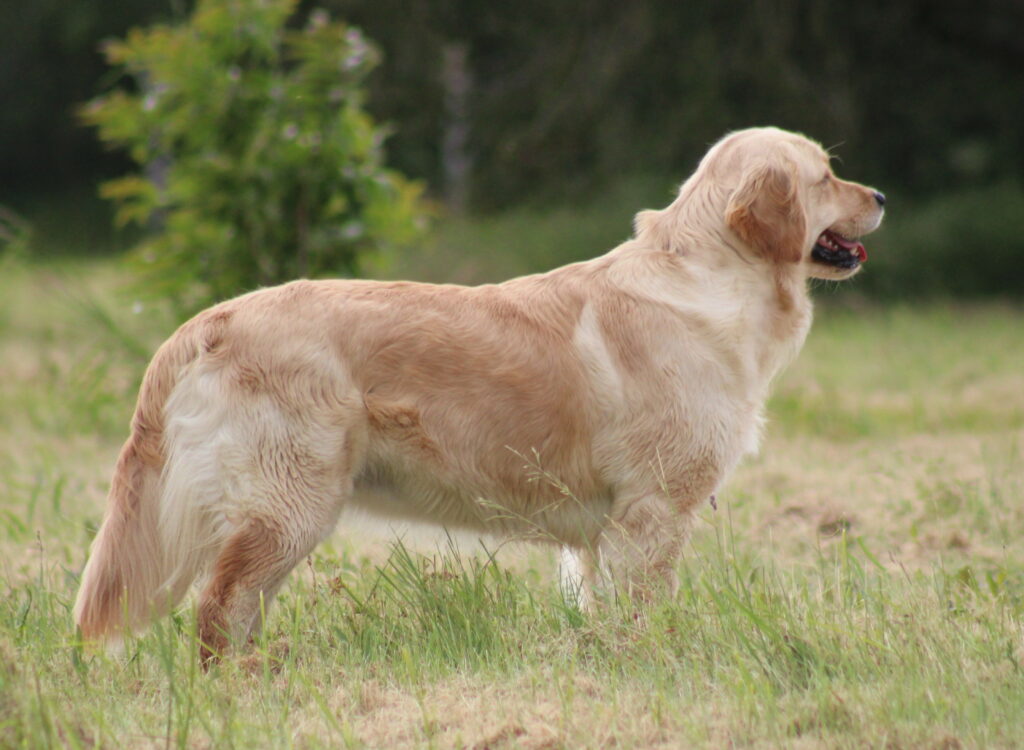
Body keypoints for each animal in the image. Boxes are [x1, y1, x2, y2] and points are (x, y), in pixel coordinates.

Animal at [75, 126, 884, 659]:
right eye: (824, 177)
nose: (879, 193)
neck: (712, 281)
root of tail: (208, 320)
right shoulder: (654, 509)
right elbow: (645, 609)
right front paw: (654, 663)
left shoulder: (607, 528)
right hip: (291, 503)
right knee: (219, 605)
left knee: (239, 606)